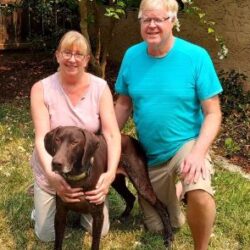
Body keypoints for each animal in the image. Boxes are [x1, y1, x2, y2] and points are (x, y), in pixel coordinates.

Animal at [44, 126, 172, 249]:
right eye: (57, 140)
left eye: (74, 142)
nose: (56, 163)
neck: (77, 179)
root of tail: (134, 140)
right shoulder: (60, 214)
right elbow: (58, 242)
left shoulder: (98, 216)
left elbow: (95, 243)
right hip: (117, 181)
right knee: (130, 197)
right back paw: (122, 218)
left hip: (140, 183)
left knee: (161, 207)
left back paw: (169, 238)